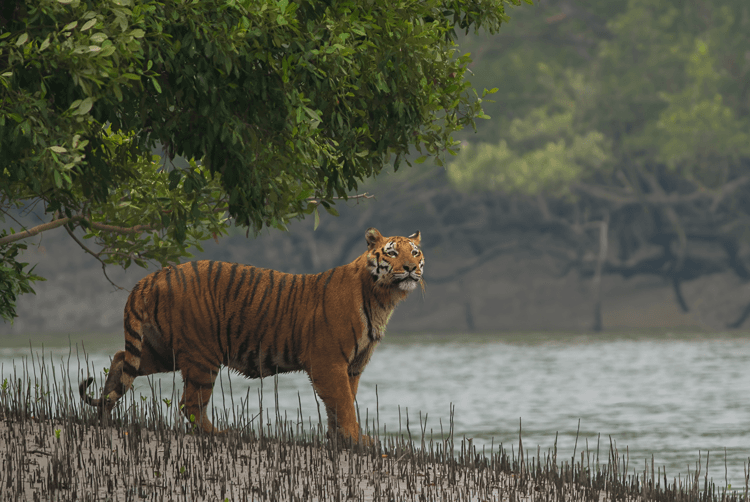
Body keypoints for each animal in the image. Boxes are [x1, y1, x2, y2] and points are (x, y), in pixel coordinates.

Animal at [79, 228, 424, 443]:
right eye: (392, 253)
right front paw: (356, 440)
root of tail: (154, 275)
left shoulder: (353, 366)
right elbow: (343, 404)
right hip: (202, 355)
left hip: (162, 350)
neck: (382, 298)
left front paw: (342, 439)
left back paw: (104, 415)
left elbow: (342, 404)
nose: (410, 268)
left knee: (121, 359)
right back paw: (219, 434)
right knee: (190, 404)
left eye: (415, 252)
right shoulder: (329, 362)